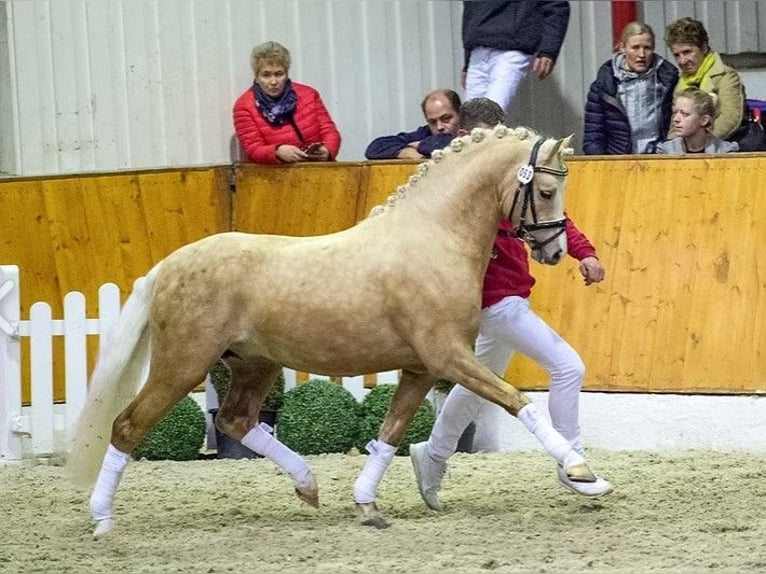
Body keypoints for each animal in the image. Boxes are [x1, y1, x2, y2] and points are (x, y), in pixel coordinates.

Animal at [67, 125, 592, 540]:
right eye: (547, 191)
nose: (554, 250)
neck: (432, 238)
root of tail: (168, 265)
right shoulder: (447, 357)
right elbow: (517, 401)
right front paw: (582, 471)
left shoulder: (422, 368)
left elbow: (390, 432)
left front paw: (367, 506)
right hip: (183, 365)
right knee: (128, 425)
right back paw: (103, 520)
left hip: (255, 364)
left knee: (236, 420)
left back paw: (308, 484)